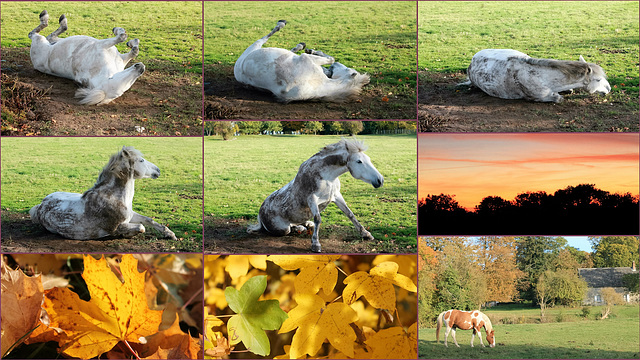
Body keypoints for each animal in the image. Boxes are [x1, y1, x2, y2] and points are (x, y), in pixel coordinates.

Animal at [29, 146, 176, 242]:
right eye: (141, 160)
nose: (158, 170)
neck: (113, 198)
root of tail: (40, 205)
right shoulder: (116, 227)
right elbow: (141, 227)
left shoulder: (131, 215)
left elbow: (149, 220)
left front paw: (171, 234)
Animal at [234, 20, 370, 102]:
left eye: (347, 68)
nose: (335, 67)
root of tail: (237, 67)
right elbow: (330, 59)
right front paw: (313, 51)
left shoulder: (308, 60)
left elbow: (330, 59)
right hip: (256, 46)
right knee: (271, 38)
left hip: (255, 46)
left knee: (270, 37)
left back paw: (294, 38)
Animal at [248, 138, 382, 253]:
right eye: (359, 161)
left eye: (368, 159)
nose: (380, 180)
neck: (326, 176)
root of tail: (260, 213)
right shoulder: (311, 199)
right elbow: (318, 218)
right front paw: (315, 244)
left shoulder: (336, 196)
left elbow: (350, 214)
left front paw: (366, 234)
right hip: (282, 229)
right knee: (289, 228)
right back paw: (299, 229)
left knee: (302, 224)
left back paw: (304, 226)